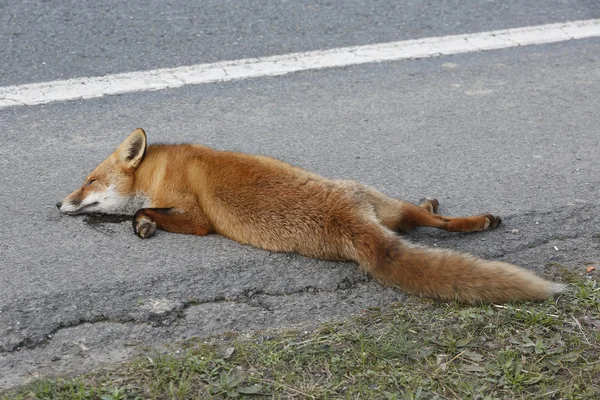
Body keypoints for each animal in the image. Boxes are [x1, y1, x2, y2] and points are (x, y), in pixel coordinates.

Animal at [56, 128, 564, 304]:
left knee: (435, 225)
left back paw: (472, 220)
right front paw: (141, 223)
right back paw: (443, 211)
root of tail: (352, 218)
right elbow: (144, 212)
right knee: (420, 223)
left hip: (376, 196)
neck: (162, 168)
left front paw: (142, 221)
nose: (59, 203)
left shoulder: (199, 218)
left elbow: (146, 210)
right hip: (386, 214)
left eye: (88, 181)